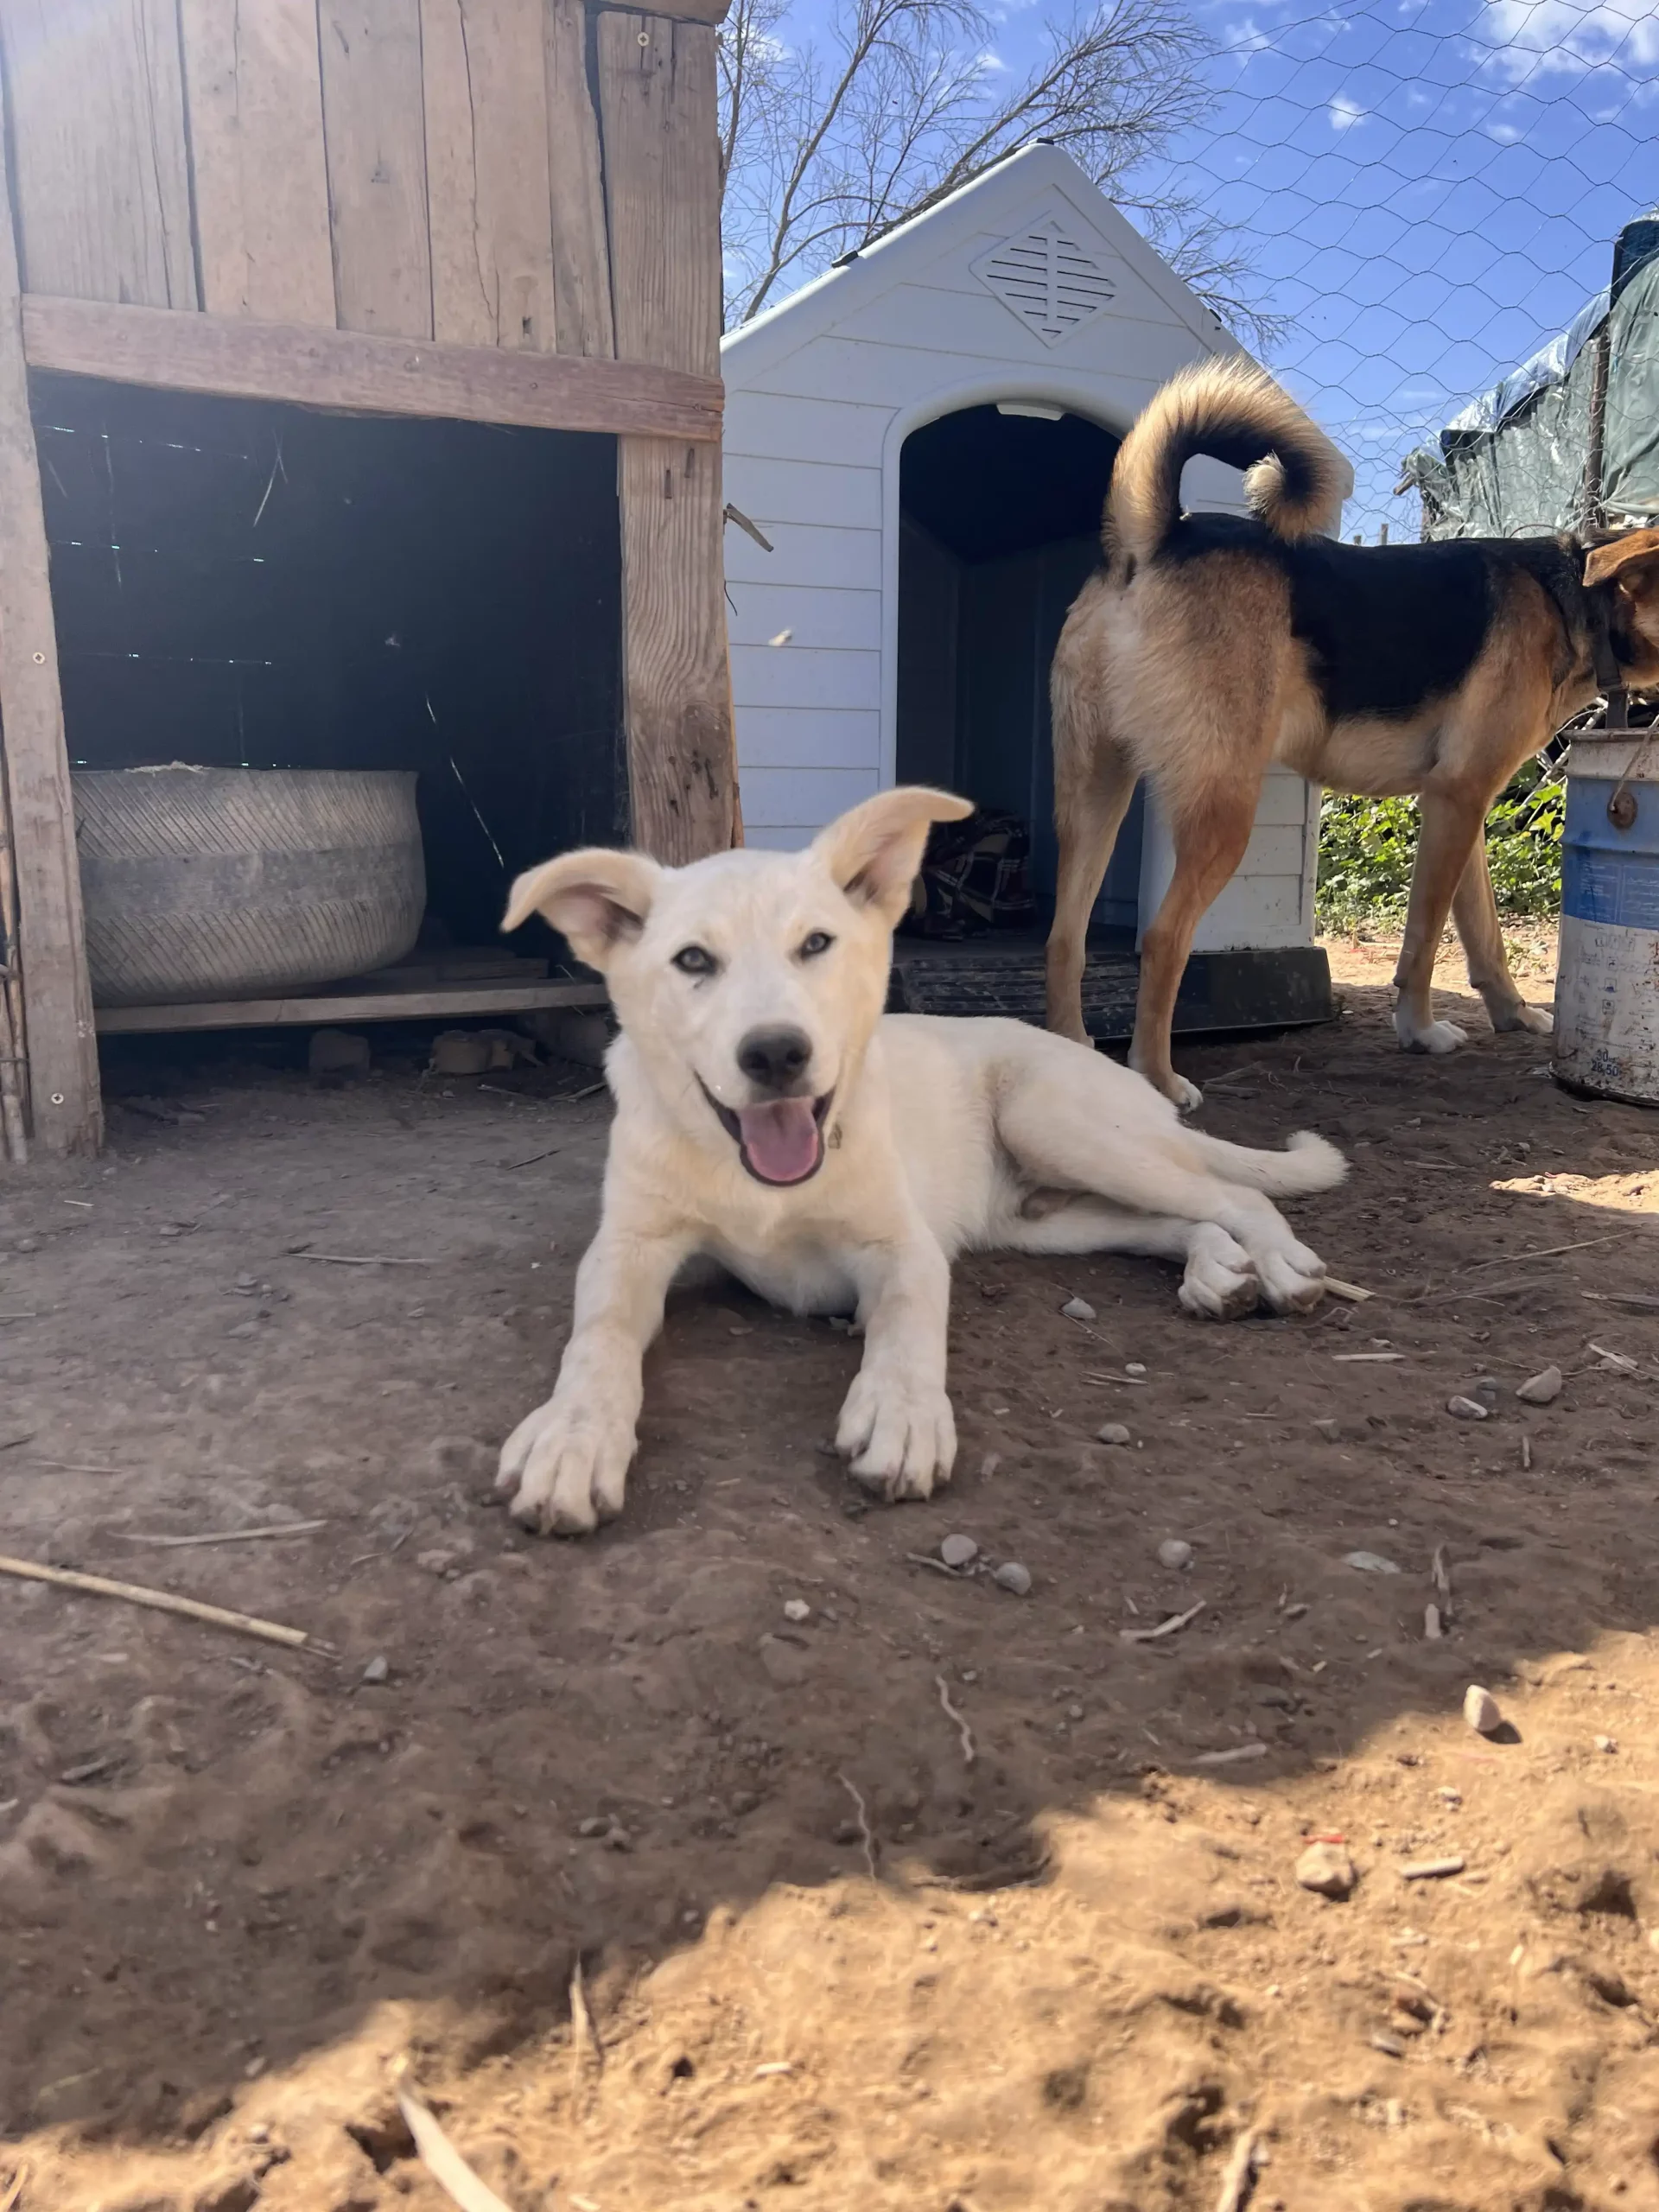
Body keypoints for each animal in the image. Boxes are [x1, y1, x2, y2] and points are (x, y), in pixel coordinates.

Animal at [494, 787, 1347, 1536]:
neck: (760, 1178)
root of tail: (1125, 1076)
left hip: (1056, 1122)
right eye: (693, 959)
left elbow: (907, 1322)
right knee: (1173, 1218)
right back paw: (1217, 1273)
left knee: (1236, 1196)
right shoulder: (628, 1249)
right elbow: (599, 1334)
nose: (776, 1053)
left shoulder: (904, 1248)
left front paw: (901, 1415)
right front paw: (571, 1437)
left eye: (816, 943)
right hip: (1041, 1220)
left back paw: (1279, 1267)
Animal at [1044, 358, 1659, 1108]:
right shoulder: (1456, 801)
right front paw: (1420, 1030)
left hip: (1094, 791)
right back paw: (1160, 1079)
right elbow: (1425, 937)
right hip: (1221, 813)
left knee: (1064, 936)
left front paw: (1512, 1014)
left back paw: (1069, 1054)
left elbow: (1482, 931)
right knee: (1163, 940)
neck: (1578, 597)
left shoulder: (1461, 806)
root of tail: (1156, 539)